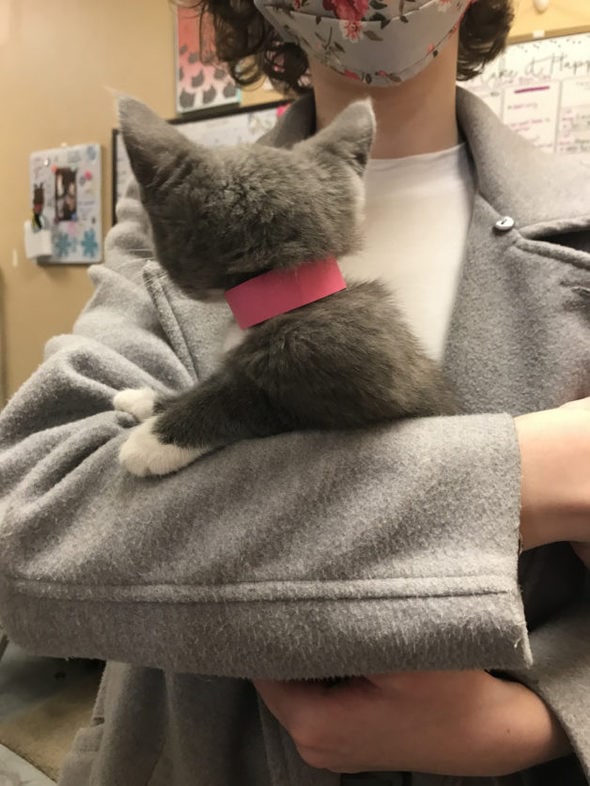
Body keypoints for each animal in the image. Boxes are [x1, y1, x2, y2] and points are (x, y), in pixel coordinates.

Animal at [117, 99, 458, 478]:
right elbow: (215, 380)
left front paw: (153, 441)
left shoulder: (363, 380)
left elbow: (254, 399)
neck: (283, 298)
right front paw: (149, 400)